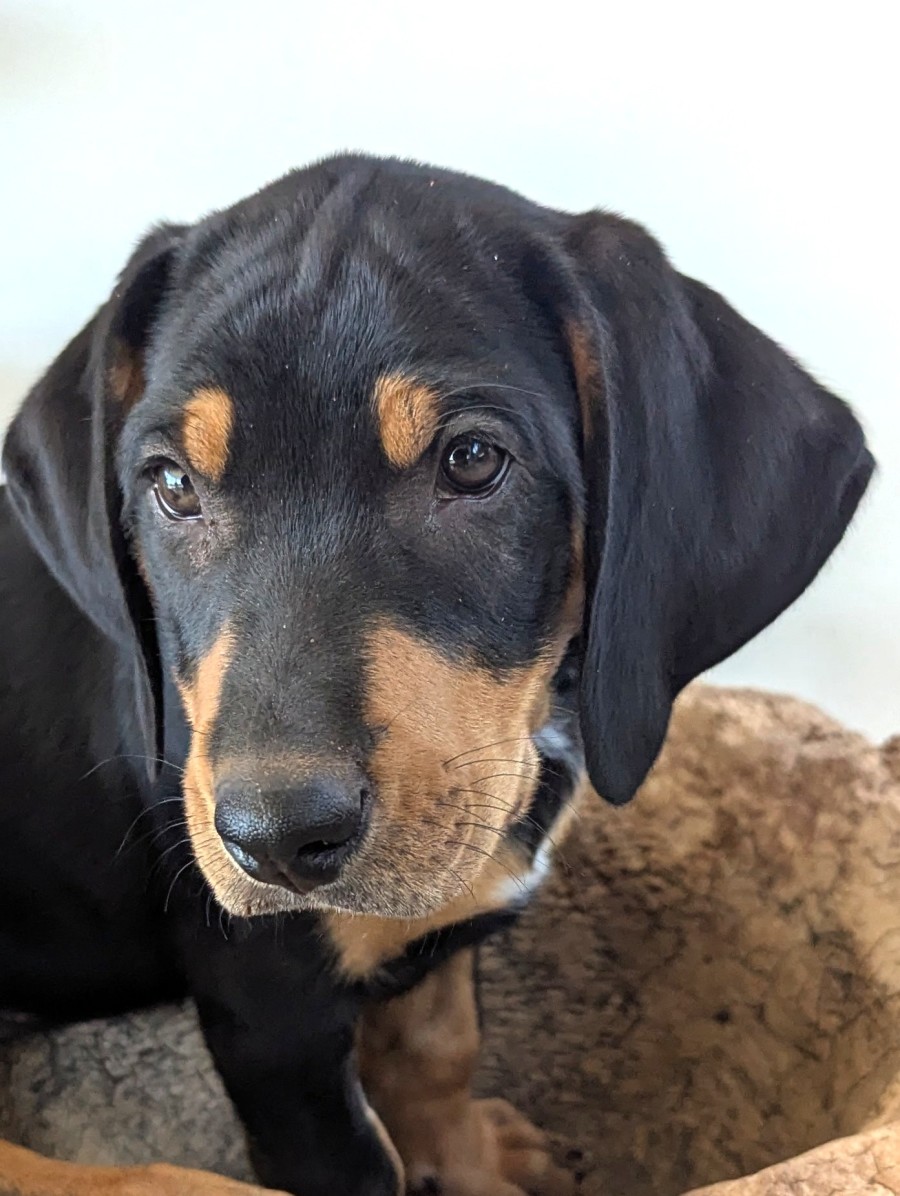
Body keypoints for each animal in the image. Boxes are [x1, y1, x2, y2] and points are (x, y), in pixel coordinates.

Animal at [0, 154, 873, 1195]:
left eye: (472, 460)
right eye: (172, 485)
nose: (276, 841)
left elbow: (435, 1044)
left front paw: (466, 1161)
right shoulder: (271, 1022)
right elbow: (360, 1159)